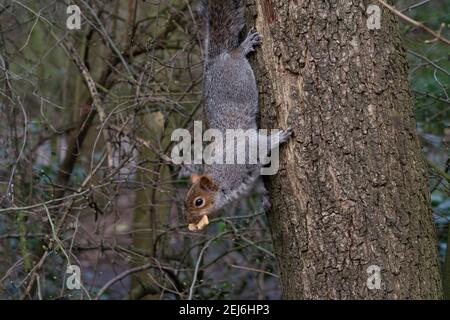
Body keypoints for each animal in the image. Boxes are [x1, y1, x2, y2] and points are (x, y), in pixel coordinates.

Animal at [184, 0, 292, 230]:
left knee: (235, 54)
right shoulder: (250, 182)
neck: (223, 185)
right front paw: (265, 200)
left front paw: (279, 136)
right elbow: (260, 186)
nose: (188, 220)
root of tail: (215, 60)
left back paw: (244, 46)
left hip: (236, 73)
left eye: (199, 202)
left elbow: (261, 144)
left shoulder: (242, 157)